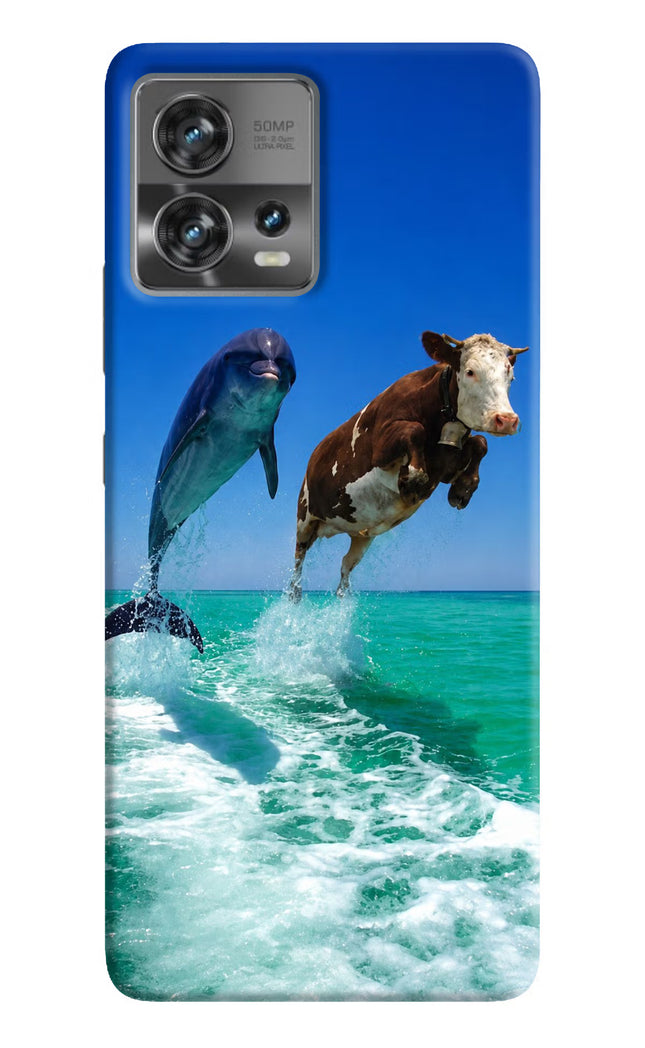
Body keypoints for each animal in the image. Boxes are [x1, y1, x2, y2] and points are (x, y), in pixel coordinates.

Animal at [289, 330, 528, 600]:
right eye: (470, 371)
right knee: (298, 560)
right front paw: (413, 479)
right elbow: (415, 430)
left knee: (345, 565)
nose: (506, 420)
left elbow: (480, 442)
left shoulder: (446, 465)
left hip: (361, 534)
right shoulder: (380, 447)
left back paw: (343, 597)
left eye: (510, 375)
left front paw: (463, 489)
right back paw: (295, 594)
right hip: (305, 517)